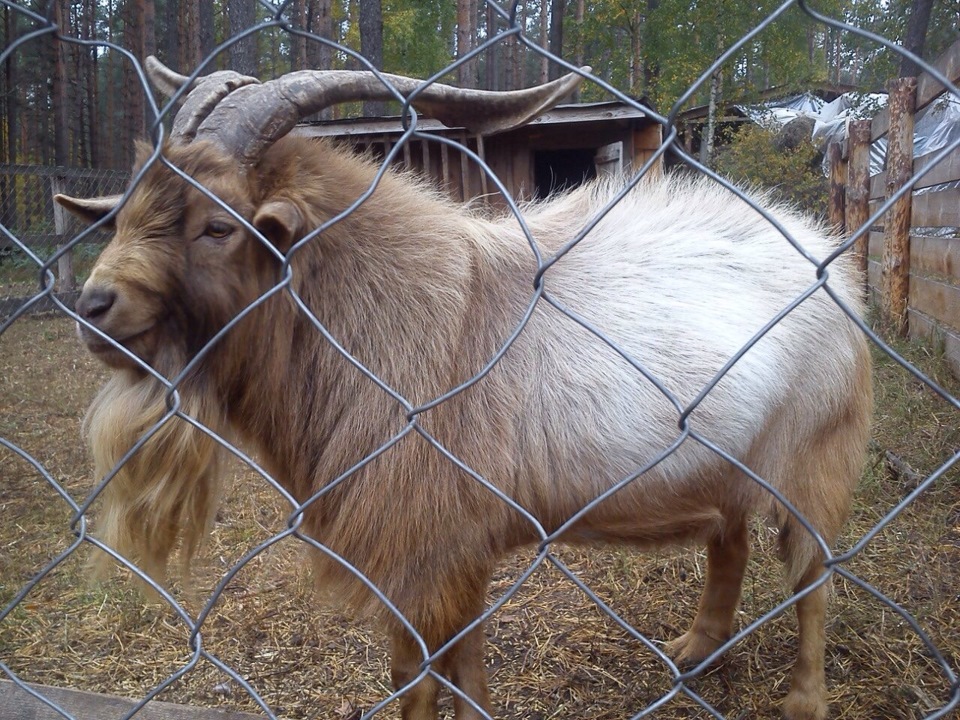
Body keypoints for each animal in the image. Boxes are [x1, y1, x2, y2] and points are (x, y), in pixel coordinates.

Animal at [56, 57, 872, 720]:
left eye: (217, 226)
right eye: (128, 210)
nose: (93, 307)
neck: (381, 314)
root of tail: (830, 263)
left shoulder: (430, 551)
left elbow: (423, 681)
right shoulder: (451, 554)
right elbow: (455, 672)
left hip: (816, 454)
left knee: (814, 577)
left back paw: (805, 698)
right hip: (727, 461)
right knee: (732, 540)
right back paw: (696, 647)